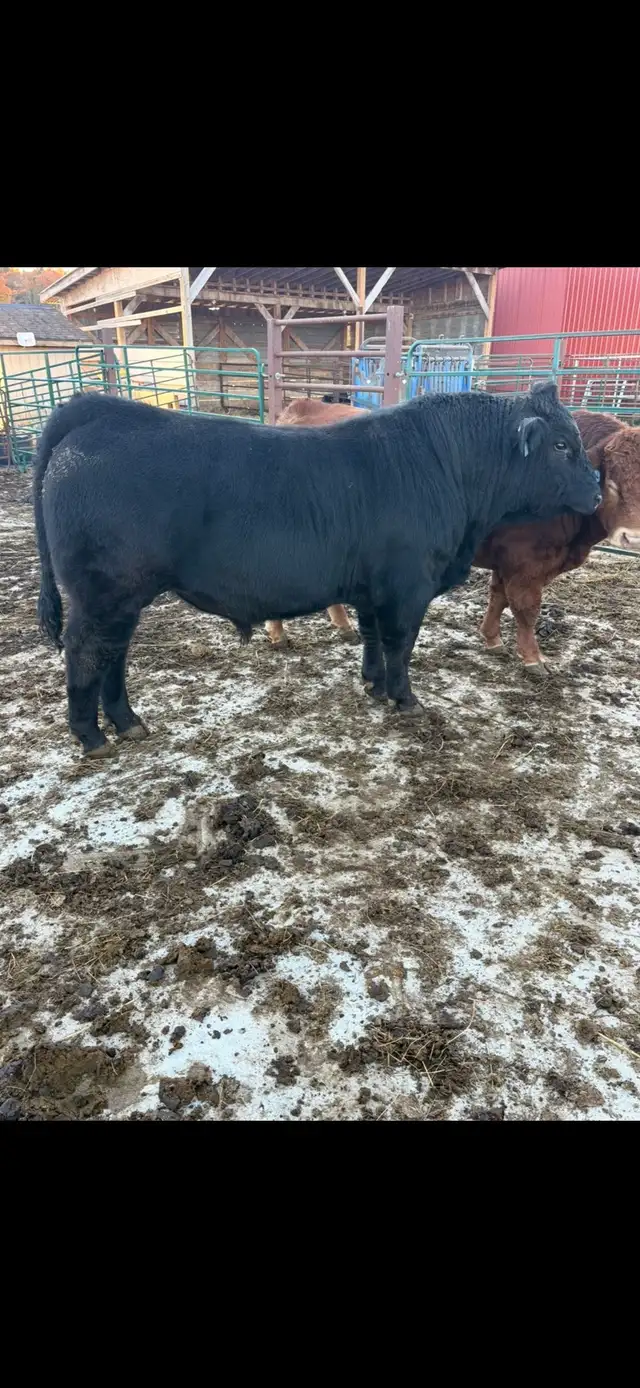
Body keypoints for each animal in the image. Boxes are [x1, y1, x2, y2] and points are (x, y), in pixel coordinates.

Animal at [476, 409, 640, 671]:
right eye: (612, 483)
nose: (632, 538)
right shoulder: (524, 564)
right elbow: (527, 609)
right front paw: (533, 658)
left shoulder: (505, 562)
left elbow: (498, 597)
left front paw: (492, 639)